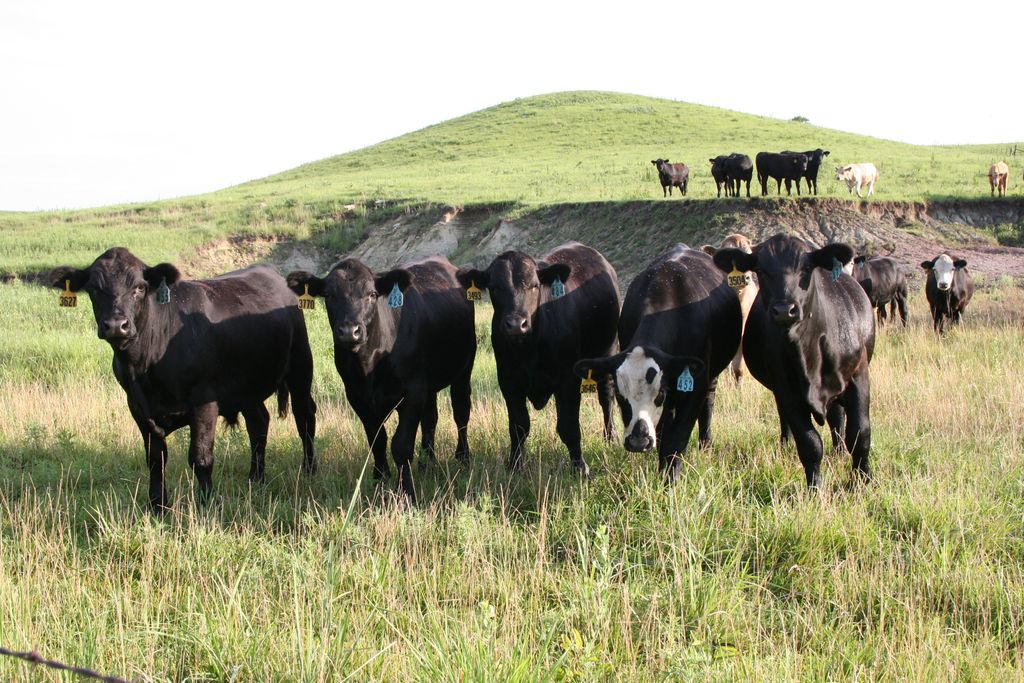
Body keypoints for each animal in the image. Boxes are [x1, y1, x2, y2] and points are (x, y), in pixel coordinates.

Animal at [49, 248, 318, 512]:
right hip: (247, 388)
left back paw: (309, 470)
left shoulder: (204, 402)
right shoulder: (137, 406)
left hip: (300, 367)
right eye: (94, 289)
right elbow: (155, 458)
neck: (145, 365)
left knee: (304, 417)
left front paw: (208, 504)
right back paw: (256, 478)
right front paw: (157, 506)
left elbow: (200, 457)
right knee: (259, 422)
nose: (116, 325)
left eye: (139, 287)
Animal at [287, 257, 475, 502]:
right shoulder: (357, 395)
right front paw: (380, 479)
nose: (350, 331)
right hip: (430, 385)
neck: (369, 363)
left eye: (372, 294)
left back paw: (463, 457)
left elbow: (401, 444)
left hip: (464, 369)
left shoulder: (413, 391)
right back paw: (427, 463)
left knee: (461, 411)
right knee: (430, 419)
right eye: (328, 295)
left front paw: (406, 492)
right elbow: (377, 439)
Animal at [455, 242, 620, 477]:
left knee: (606, 396)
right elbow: (518, 425)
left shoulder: (568, 380)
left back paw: (611, 437)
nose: (516, 324)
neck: (530, 347)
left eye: (534, 285)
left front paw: (580, 467)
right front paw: (514, 465)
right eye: (495, 288)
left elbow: (569, 426)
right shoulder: (508, 380)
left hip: (607, 349)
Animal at [572, 246, 741, 481]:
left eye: (659, 394)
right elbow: (663, 434)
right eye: (620, 397)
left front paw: (671, 479)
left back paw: (705, 444)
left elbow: (676, 437)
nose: (638, 441)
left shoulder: (694, 387)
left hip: (712, 376)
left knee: (708, 402)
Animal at [711, 235, 875, 488]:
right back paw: (786, 444)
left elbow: (859, 433)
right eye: (761, 270)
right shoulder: (786, 388)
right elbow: (809, 442)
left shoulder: (859, 376)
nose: (783, 310)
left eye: (806, 268)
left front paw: (863, 480)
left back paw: (839, 451)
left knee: (837, 417)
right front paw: (815, 487)